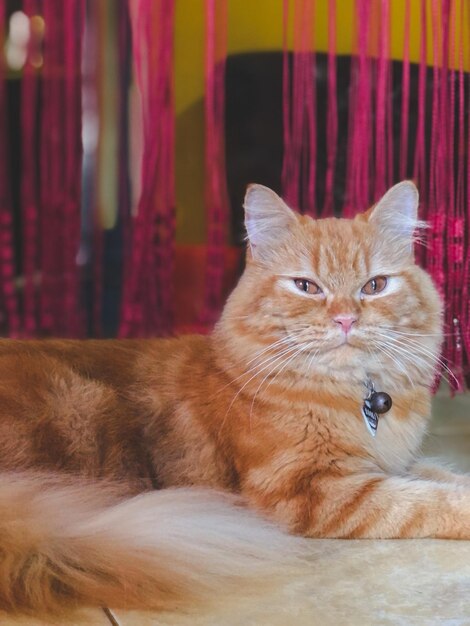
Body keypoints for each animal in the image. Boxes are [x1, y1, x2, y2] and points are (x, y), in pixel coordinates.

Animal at [0, 180, 466, 616]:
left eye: (375, 285)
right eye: (307, 286)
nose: (346, 319)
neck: (354, 394)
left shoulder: (395, 464)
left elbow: (442, 477)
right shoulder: (312, 488)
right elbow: (421, 501)